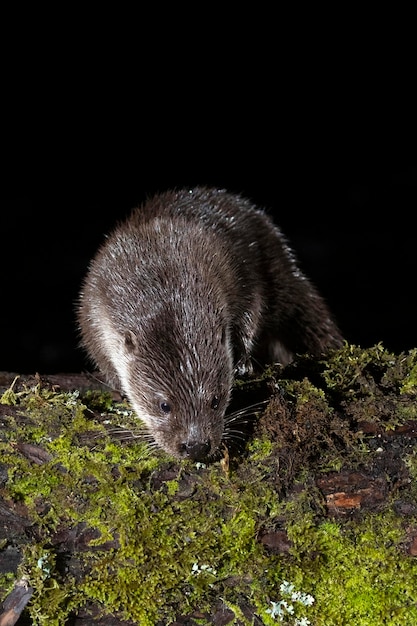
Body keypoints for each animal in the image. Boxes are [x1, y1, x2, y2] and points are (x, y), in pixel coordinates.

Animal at [76, 185, 342, 458]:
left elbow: (252, 311)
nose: (196, 446)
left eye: (216, 400)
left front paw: (242, 363)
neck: (159, 268)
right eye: (164, 405)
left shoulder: (238, 270)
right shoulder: (93, 305)